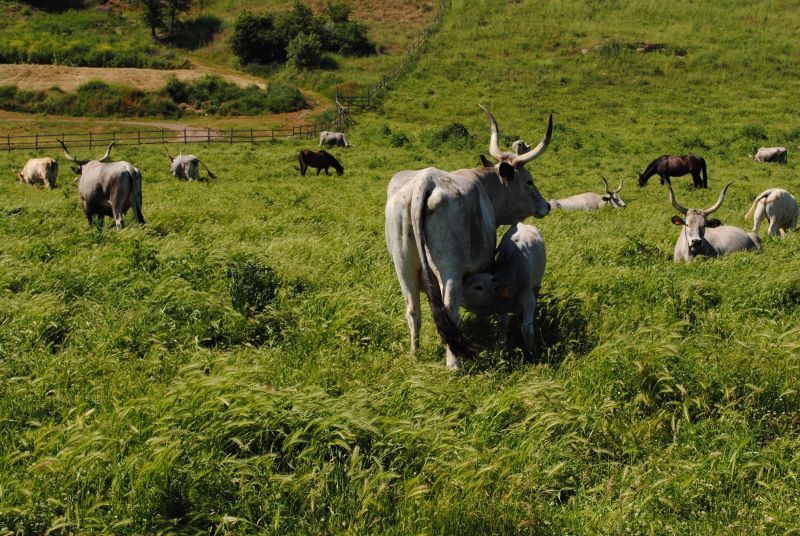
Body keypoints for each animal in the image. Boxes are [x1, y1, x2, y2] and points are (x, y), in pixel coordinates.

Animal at [460, 222, 548, 352]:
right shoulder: (503, 308)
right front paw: (501, 346)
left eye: (478, 287)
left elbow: (527, 330)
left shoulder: (528, 298)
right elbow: (502, 324)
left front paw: (532, 352)